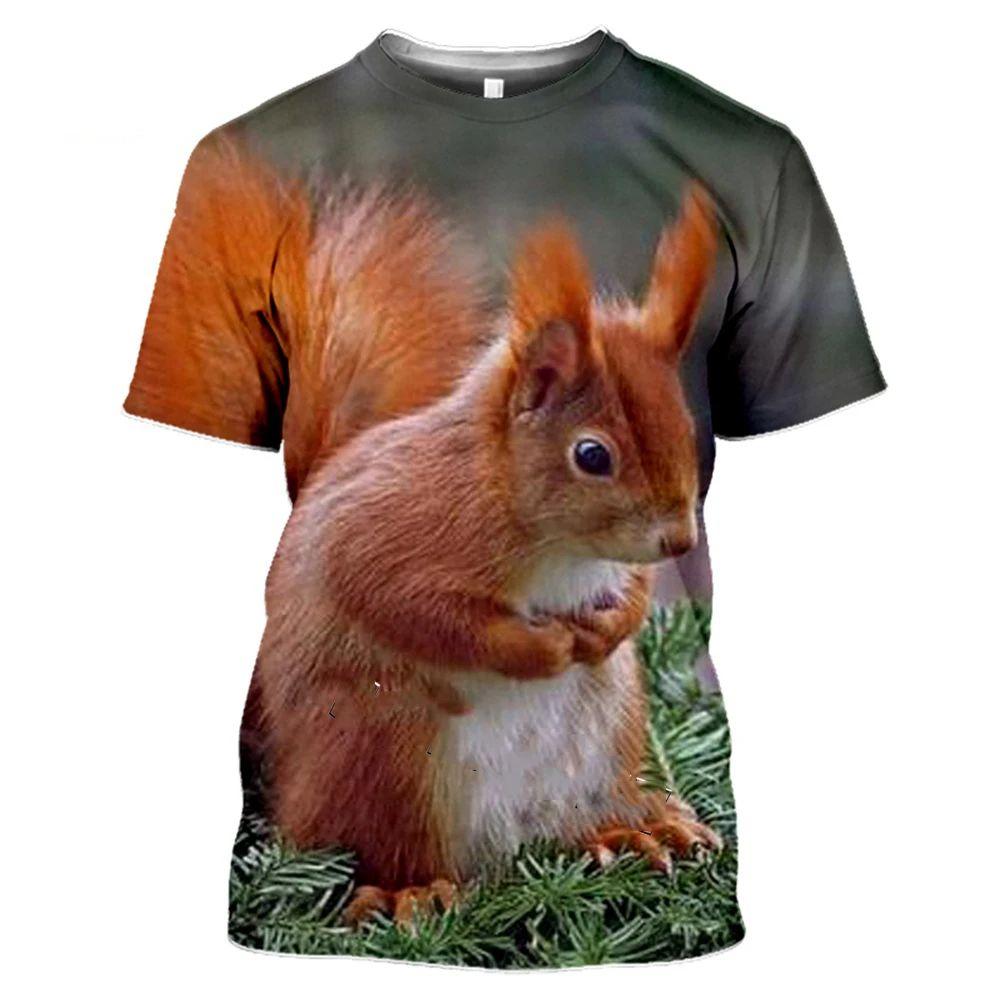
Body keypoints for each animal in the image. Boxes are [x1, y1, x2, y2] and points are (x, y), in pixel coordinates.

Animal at [239, 157, 726, 924]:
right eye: (592, 455)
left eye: (683, 421)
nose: (679, 539)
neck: (556, 548)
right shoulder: (389, 530)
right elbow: (409, 606)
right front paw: (537, 647)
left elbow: (633, 588)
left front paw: (609, 623)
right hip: (384, 746)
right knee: (385, 845)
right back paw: (408, 890)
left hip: (611, 725)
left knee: (575, 821)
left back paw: (631, 830)